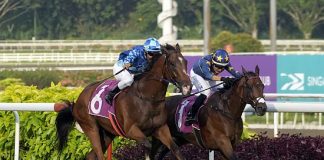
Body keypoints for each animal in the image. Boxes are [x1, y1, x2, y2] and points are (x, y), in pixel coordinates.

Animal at [55, 43, 192, 159]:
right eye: (172, 63)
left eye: (185, 62)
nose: (188, 87)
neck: (148, 98)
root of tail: (77, 101)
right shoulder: (131, 130)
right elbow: (148, 146)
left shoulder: (161, 128)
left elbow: (175, 149)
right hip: (91, 128)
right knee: (98, 154)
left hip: (107, 134)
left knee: (91, 156)